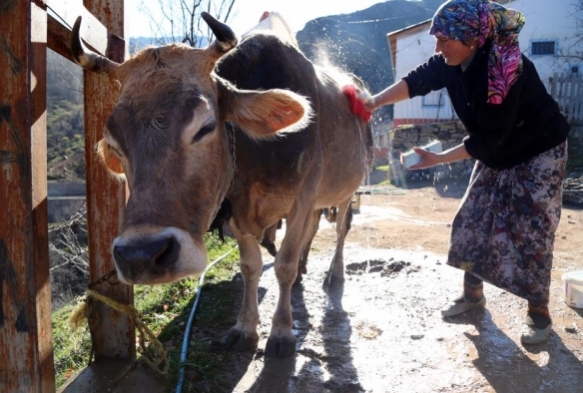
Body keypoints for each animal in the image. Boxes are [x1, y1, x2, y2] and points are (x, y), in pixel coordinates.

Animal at [72, 12, 374, 356]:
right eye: (115, 143)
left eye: (205, 127)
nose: (141, 256)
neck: (257, 158)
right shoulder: (236, 209)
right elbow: (250, 266)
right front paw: (245, 327)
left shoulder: (301, 200)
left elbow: (283, 265)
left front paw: (282, 331)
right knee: (313, 230)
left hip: (348, 188)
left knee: (341, 229)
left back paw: (334, 275)